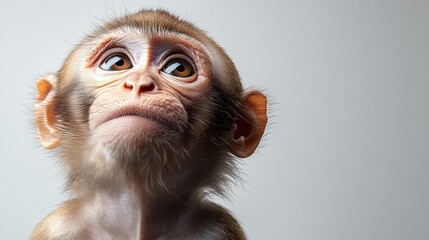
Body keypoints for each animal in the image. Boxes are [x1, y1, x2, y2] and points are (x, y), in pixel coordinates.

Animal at [31, 9, 268, 240]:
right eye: (117, 62)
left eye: (179, 68)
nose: (139, 83)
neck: (137, 217)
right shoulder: (58, 227)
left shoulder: (217, 228)